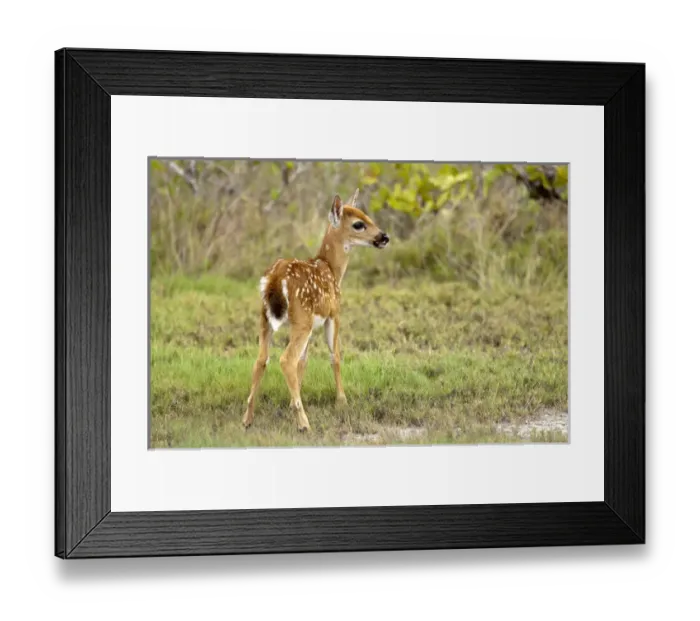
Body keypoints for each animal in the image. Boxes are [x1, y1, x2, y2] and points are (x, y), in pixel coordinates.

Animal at [243, 189, 390, 433]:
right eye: (359, 224)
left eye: (367, 216)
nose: (384, 237)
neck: (332, 270)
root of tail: (275, 280)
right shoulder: (333, 314)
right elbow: (335, 355)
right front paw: (341, 401)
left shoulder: (313, 323)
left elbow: (304, 361)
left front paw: (291, 402)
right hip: (301, 320)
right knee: (286, 359)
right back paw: (304, 423)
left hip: (266, 319)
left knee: (262, 359)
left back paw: (247, 418)